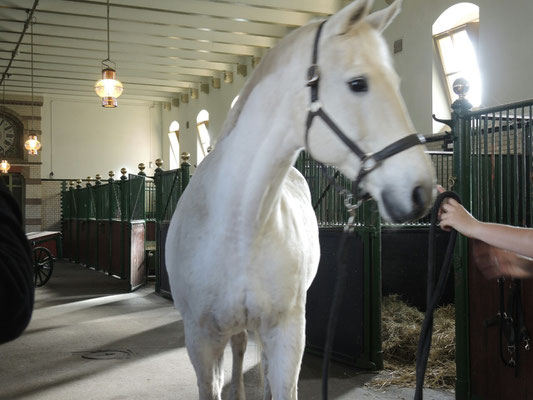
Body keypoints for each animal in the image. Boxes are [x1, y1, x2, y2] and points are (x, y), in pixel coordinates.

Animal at [165, 0, 432, 398]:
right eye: (358, 83)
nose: (422, 191)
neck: (238, 228)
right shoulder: (201, 341)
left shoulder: (287, 332)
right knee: (240, 348)